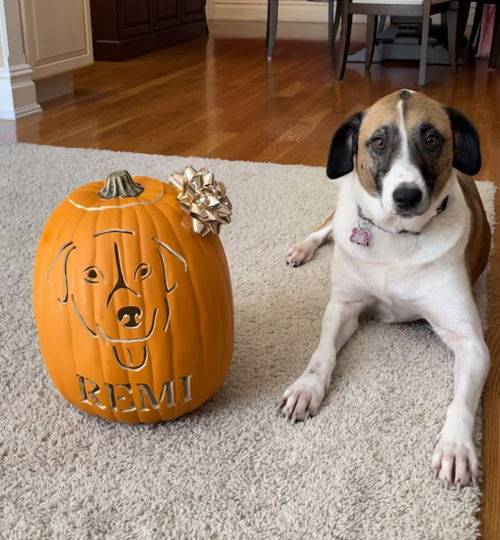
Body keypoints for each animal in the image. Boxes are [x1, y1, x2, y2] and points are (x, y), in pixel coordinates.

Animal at [282, 90, 492, 488]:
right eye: (379, 142)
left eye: (432, 139)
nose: (406, 196)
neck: (398, 238)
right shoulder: (343, 308)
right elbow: (321, 354)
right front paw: (306, 388)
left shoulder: (471, 342)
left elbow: (461, 401)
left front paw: (455, 446)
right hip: (340, 211)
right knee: (325, 227)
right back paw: (302, 248)